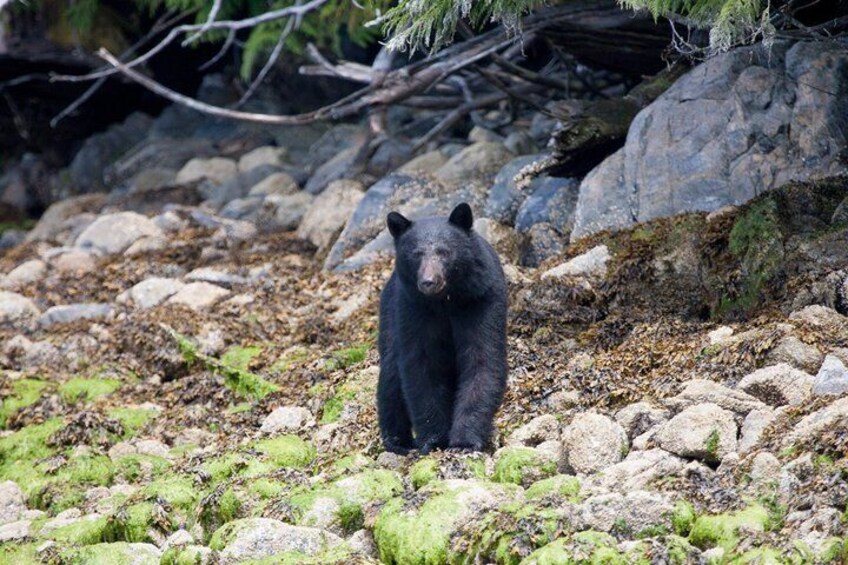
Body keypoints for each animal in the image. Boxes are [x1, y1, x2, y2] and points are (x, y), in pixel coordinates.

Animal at [377, 202, 508, 454]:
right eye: (417, 253)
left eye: (444, 252)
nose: (429, 282)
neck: (446, 301)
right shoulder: (413, 309)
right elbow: (422, 366)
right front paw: (434, 439)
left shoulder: (481, 300)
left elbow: (482, 358)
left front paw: (465, 440)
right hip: (389, 316)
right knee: (390, 375)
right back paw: (397, 441)